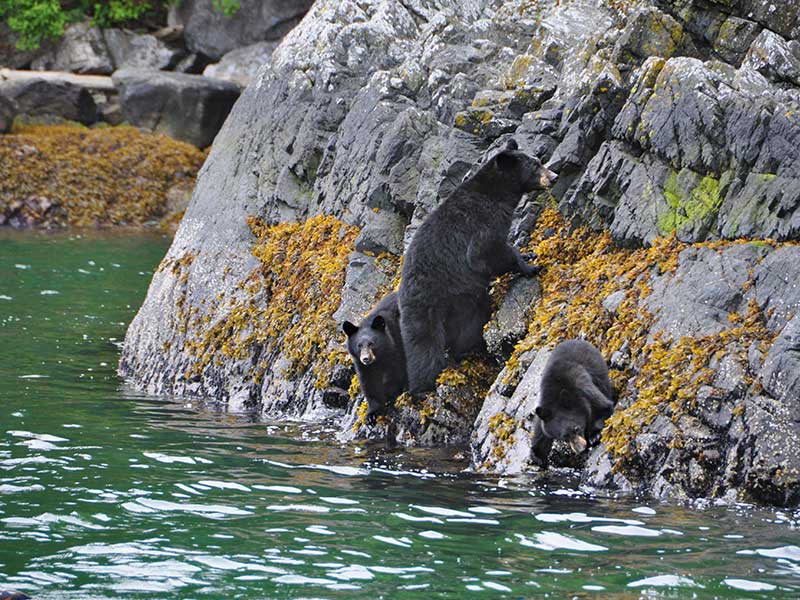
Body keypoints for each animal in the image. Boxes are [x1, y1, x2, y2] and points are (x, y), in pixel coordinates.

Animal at [342, 292, 406, 424]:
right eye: (359, 345)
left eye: (371, 343)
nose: (366, 358)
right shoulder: (361, 365)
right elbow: (369, 383)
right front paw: (372, 414)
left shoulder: (395, 348)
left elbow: (396, 372)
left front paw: (391, 396)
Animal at [398, 138, 556, 396]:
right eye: (534, 166)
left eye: (539, 160)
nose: (553, 176)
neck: (495, 194)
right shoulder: (482, 224)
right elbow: (487, 253)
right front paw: (529, 267)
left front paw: (529, 252)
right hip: (431, 302)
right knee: (425, 342)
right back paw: (424, 385)